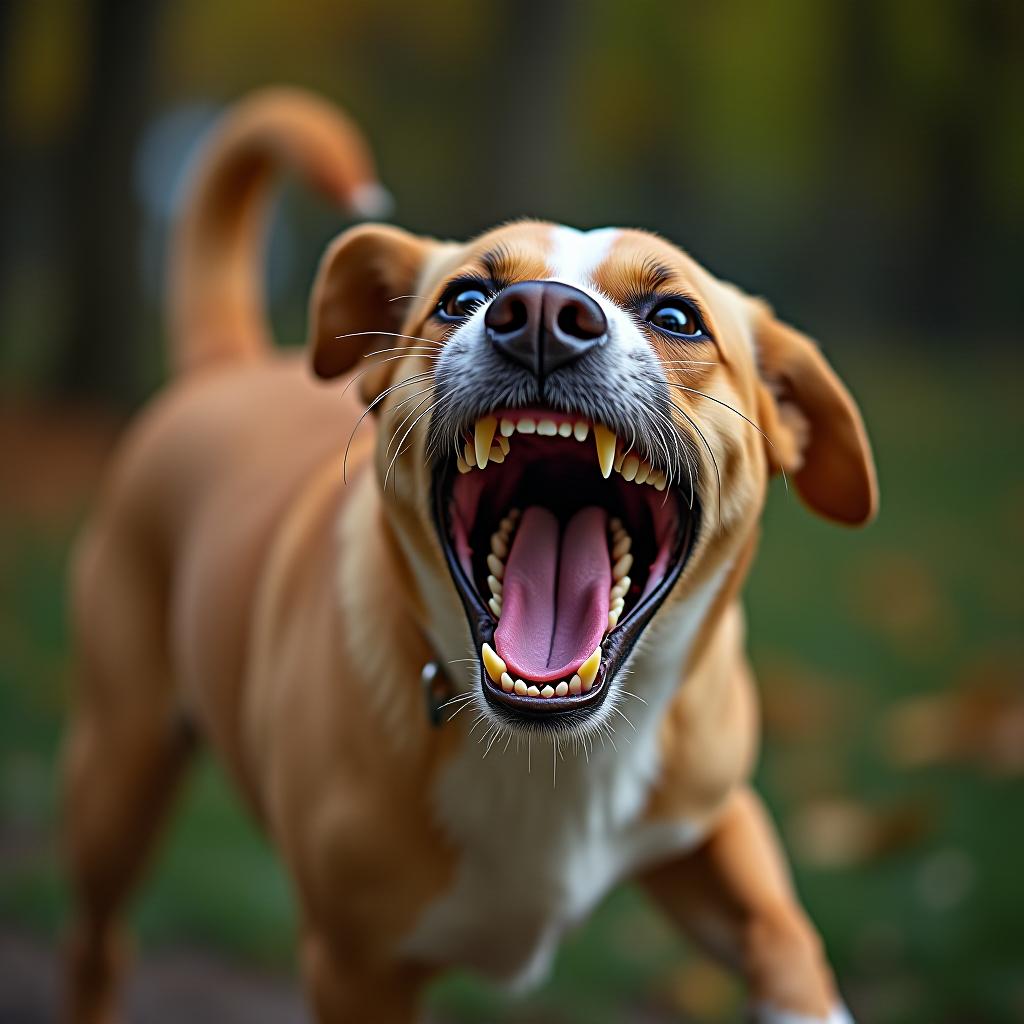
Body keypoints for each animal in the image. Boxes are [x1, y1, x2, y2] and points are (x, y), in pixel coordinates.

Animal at [64, 90, 876, 1024]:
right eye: (463, 297)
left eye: (678, 317)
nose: (543, 316)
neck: (554, 756)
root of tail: (224, 368)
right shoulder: (355, 968)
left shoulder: (713, 815)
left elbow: (784, 932)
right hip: (117, 779)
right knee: (97, 942)